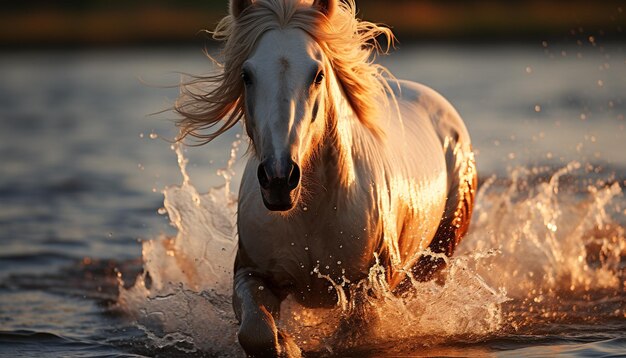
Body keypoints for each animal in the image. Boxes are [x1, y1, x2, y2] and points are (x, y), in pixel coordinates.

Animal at [173, 0, 476, 354]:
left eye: (317, 75)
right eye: (247, 75)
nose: (279, 178)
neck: (311, 212)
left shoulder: (368, 289)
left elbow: (353, 337)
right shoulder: (251, 273)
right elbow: (256, 332)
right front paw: (287, 344)